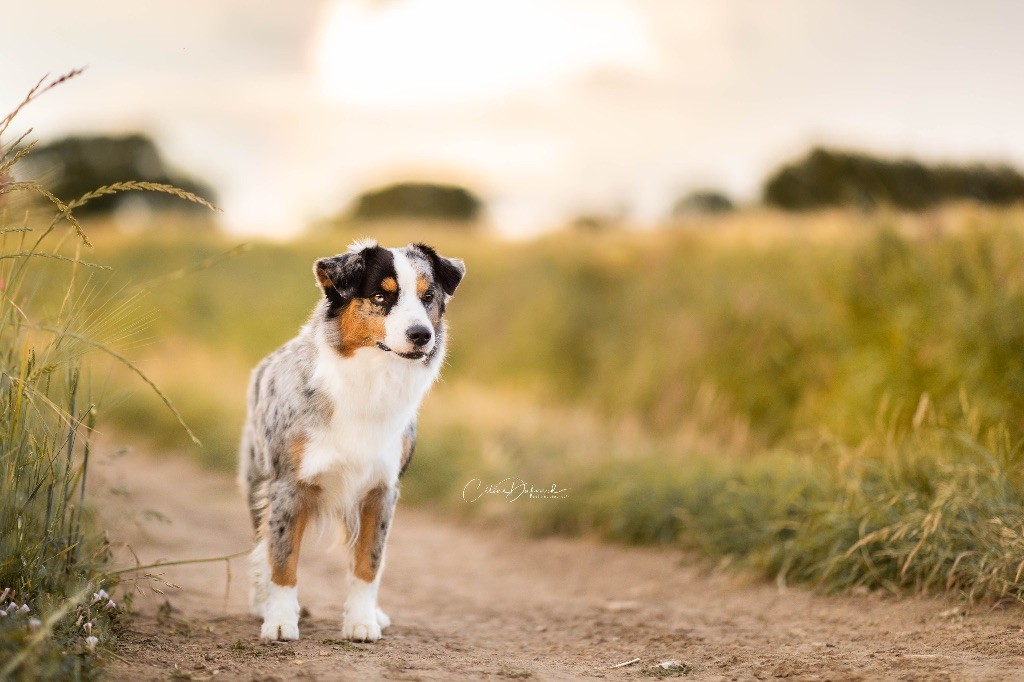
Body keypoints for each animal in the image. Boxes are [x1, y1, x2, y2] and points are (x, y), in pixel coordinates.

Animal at [235, 240, 464, 643]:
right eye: (380, 296)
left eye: (428, 297)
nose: (422, 334)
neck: (370, 383)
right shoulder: (286, 486)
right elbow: (282, 559)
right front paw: (279, 620)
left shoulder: (382, 489)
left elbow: (369, 562)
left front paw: (362, 620)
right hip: (255, 481)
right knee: (260, 545)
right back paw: (261, 603)